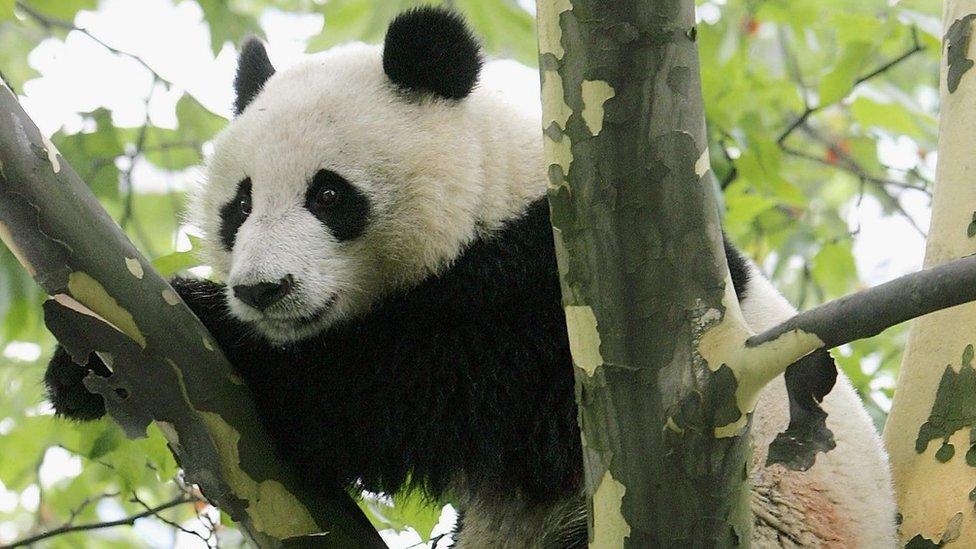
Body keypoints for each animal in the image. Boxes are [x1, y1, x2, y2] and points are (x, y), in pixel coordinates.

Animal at [43, 6, 892, 544]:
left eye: (329, 196)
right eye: (240, 203)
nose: (262, 290)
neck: (497, 188)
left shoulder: (564, 298)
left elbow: (430, 383)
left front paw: (219, 329)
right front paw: (79, 373)